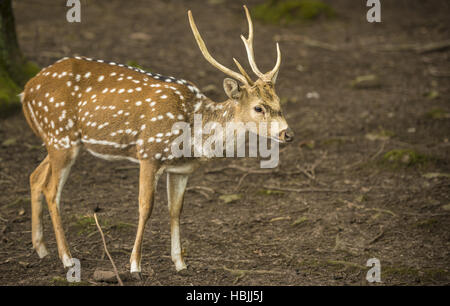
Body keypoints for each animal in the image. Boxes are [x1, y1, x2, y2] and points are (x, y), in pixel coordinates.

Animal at [21, 5, 294, 276]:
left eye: (279, 102)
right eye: (259, 107)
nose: (287, 134)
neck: (193, 133)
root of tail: (25, 90)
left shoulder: (181, 169)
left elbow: (175, 210)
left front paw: (180, 263)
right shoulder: (149, 153)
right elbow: (146, 207)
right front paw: (135, 265)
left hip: (59, 139)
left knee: (35, 176)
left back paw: (41, 248)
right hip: (61, 136)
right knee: (52, 190)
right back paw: (67, 258)